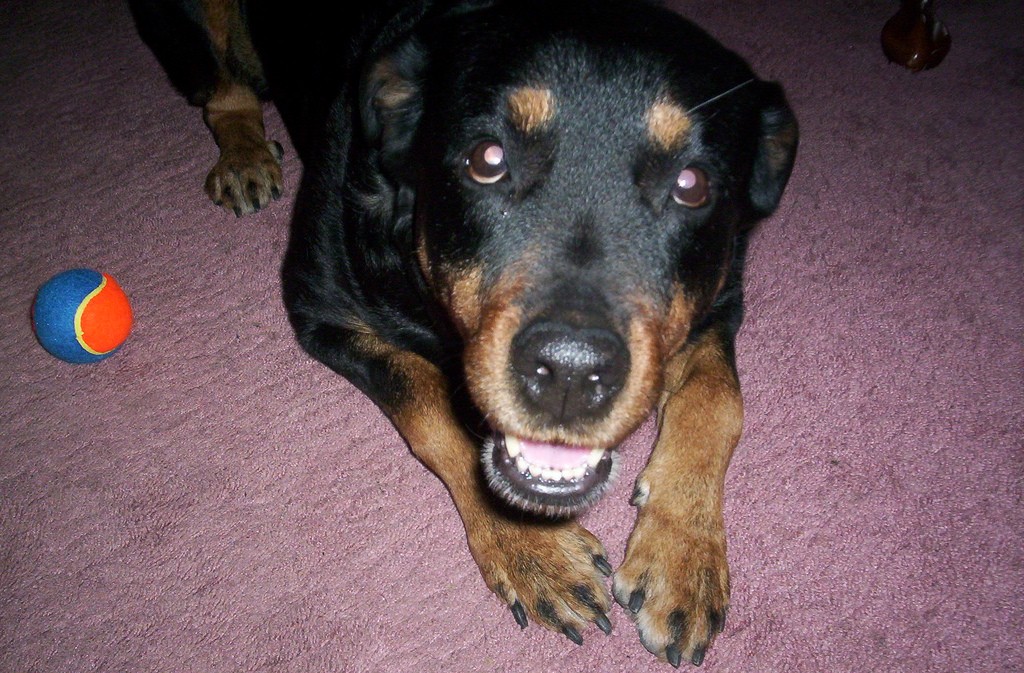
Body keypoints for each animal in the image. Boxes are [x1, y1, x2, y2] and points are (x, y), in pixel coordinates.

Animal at [130, 0, 798, 663]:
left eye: (692, 184)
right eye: (487, 159)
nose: (570, 372)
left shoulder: (721, 297)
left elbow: (718, 398)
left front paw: (682, 554)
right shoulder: (320, 304)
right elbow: (429, 403)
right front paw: (534, 550)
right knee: (225, 95)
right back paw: (244, 155)